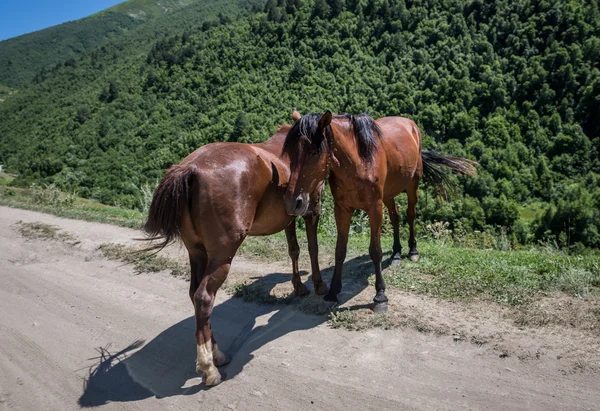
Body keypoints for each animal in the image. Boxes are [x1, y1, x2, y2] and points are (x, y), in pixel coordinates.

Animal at [143, 114, 328, 388]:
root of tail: (191, 169)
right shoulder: (310, 209)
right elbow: (312, 248)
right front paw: (318, 284)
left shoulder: (290, 215)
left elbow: (293, 249)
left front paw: (298, 286)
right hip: (222, 255)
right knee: (204, 297)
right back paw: (209, 367)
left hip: (197, 252)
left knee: (195, 295)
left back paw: (217, 353)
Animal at [282, 112, 478, 312]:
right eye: (290, 152)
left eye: (314, 153)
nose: (292, 203)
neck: (359, 162)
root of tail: (410, 124)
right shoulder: (342, 209)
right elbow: (340, 251)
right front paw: (333, 291)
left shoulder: (374, 209)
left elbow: (375, 251)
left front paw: (380, 295)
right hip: (389, 193)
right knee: (395, 216)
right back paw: (396, 253)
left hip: (412, 184)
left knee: (410, 214)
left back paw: (412, 251)